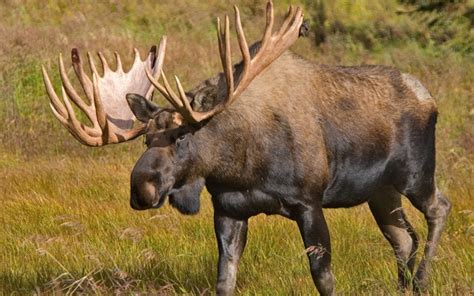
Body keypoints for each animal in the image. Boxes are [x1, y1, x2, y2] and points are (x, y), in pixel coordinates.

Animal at [41, 1, 452, 294]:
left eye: (182, 136)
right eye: (145, 139)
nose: (141, 188)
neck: (240, 164)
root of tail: (430, 97)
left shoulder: (309, 201)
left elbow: (324, 279)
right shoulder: (228, 209)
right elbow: (224, 280)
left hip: (416, 174)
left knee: (439, 208)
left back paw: (421, 281)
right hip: (380, 192)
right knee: (403, 237)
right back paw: (404, 286)